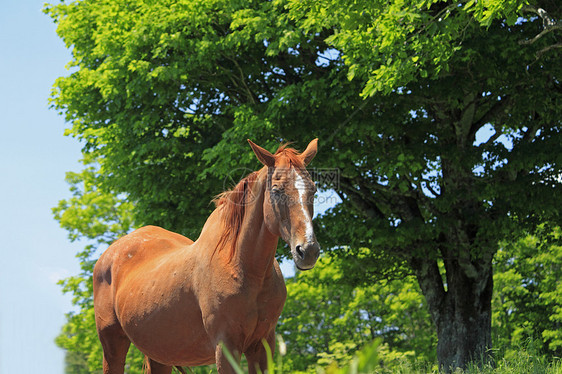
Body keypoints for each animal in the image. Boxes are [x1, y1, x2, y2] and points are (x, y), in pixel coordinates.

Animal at [92, 139, 320, 372]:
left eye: (313, 189)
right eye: (276, 190)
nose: (308, 250)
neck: (244, 267)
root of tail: (108, 255)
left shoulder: (263, 345)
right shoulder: (226, 346)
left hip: (159, 355)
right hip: (112, 346)